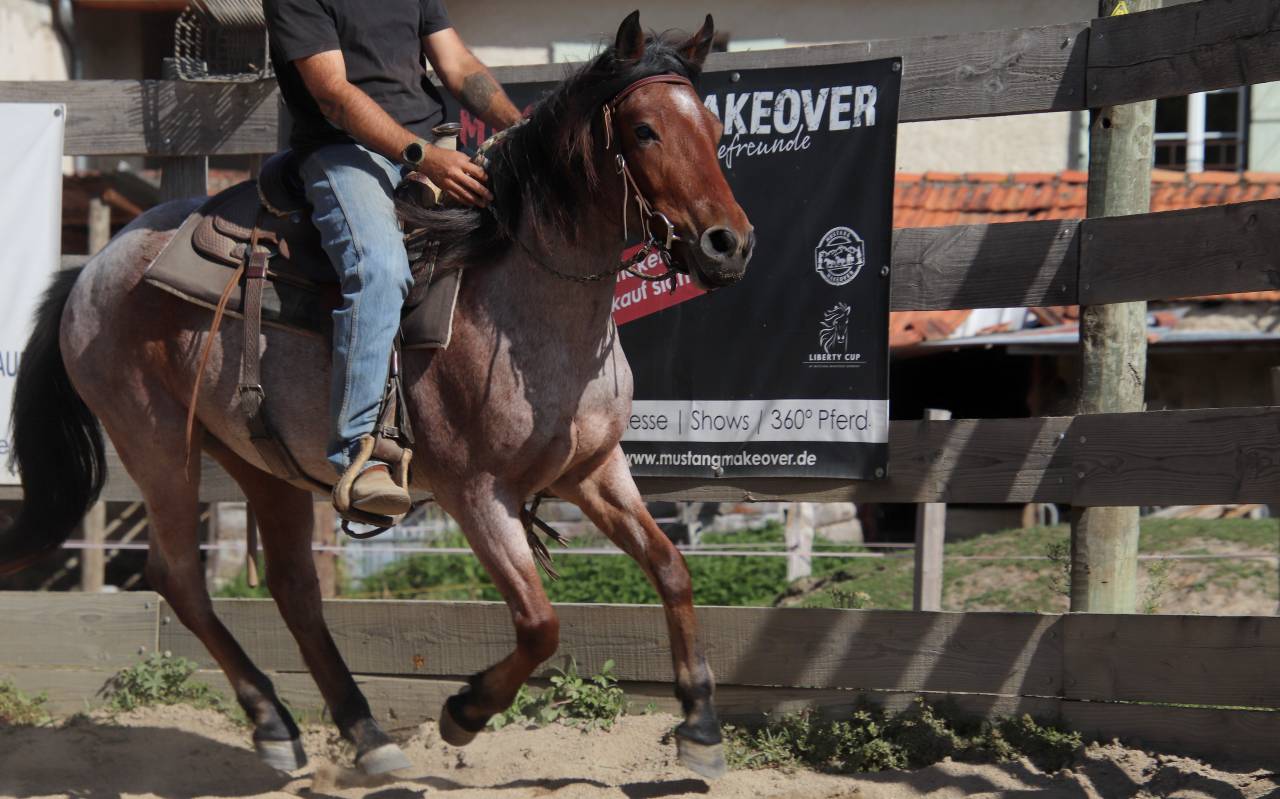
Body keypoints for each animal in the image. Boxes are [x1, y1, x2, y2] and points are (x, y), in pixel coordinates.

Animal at [0, 10, 754, 781]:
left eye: (713, 127)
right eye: (644, 130)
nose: (728, 244)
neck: (517, 297)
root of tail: (93, 267)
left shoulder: (595, 470)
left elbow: (671, 569)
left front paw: (700, 726)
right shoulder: (477, 493)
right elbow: (540, 623)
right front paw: (464, 711)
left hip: (258, 458)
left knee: (294, 588)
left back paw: (362, 731)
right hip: (156, 445)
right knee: (178, 575)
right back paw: (273, 719)